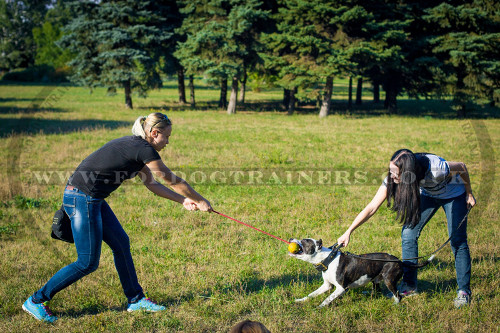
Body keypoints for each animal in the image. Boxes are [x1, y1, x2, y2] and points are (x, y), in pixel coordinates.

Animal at [290, 239, 434, 306]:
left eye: (303, 241)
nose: (291, 238)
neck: (327, 259)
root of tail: (400, 261)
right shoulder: (327, 285)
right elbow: (311, 294)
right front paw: (300, 300)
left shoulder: (341, 288)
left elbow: (327, 298)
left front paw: (319, 307)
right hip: (376, 279)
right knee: (377, 291)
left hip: (389, 279)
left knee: (399, 295)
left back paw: (395, 304)